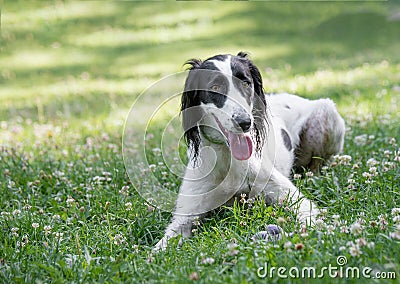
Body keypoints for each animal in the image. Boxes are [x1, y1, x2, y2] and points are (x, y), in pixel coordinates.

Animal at [153, 51, 344, 251]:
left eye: (246, 83)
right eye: (215, 87)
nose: (245, 122)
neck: (227, 156)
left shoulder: (294, 198)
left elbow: (309, 216)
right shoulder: (184, 217)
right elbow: (162, 245)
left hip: (326, 111)